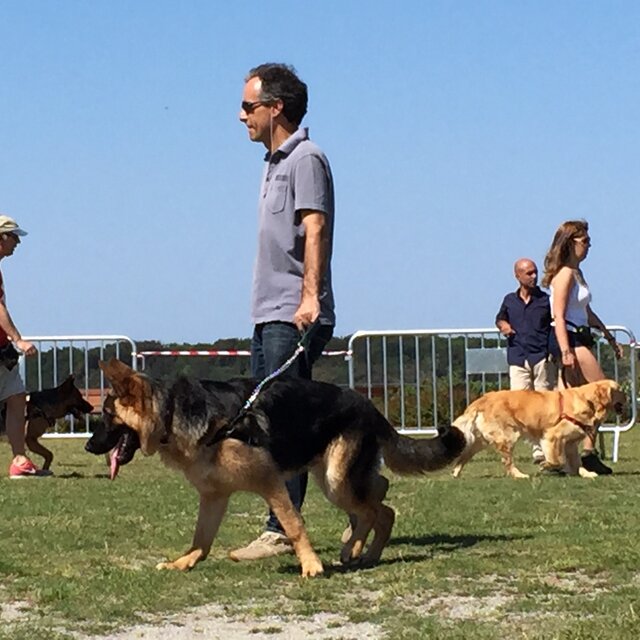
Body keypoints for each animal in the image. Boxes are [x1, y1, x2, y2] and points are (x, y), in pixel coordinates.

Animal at [86, 357, 465, 577]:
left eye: (106, 415)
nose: (89, 446)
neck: (171, 413)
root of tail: (370, 406)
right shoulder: (214, 496)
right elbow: (201, 538)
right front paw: (185, 562)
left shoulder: (270, 482)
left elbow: (293, 524)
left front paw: (311, 565)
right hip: (334, 479)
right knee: (381, 503)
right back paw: (366, 552)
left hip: (335, 481)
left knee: (375, 509)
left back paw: (355, 549)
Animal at [451, 379, 626, 479]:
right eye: (620, 390)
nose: (628, 397)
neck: (587, 400)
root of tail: (481, 399)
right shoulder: (552, 436)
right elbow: (558, 460)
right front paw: (546, 465)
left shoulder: (570, 443)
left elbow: (576, 462)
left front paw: (585, 473)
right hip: (508, 436)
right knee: (507, 461)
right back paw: (519, 475)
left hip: (480, 441)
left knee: (464, 456)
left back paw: (456, 473)